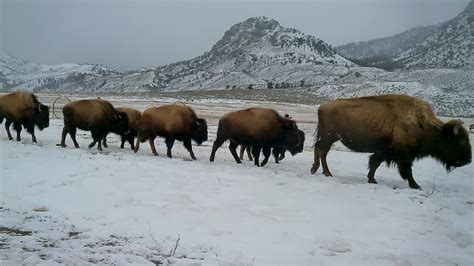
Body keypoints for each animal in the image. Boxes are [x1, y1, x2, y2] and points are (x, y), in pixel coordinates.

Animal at [312, 93, 470, 189]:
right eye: (460, 142)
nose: (468, 161)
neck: (420, 123)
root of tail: (322, 106)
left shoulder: (384, 151)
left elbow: (375, 163)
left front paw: (372, 179)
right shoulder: (403, 154)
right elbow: (407, 170)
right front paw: (416, 185)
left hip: (328, 138)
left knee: (319, 149)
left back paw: (317, 170)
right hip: (329, 137)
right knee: (321, 151)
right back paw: (325, 172)